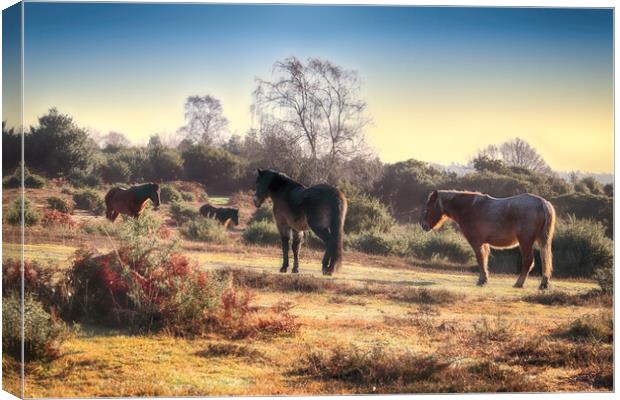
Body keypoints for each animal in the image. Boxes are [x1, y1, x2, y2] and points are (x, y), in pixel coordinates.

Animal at [418, 189, 556, 290]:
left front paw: (482, 280)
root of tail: (543, 203)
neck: (470, 207)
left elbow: (480, 260)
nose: (423, 225)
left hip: (525, 242)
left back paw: (518, 283)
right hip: (541, 240)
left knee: (528, 261)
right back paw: (543, 284)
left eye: (429, 207)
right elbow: (484, 259)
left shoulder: (477, 242)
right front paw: (484, 279)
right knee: (545, 260)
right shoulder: (484, 243)